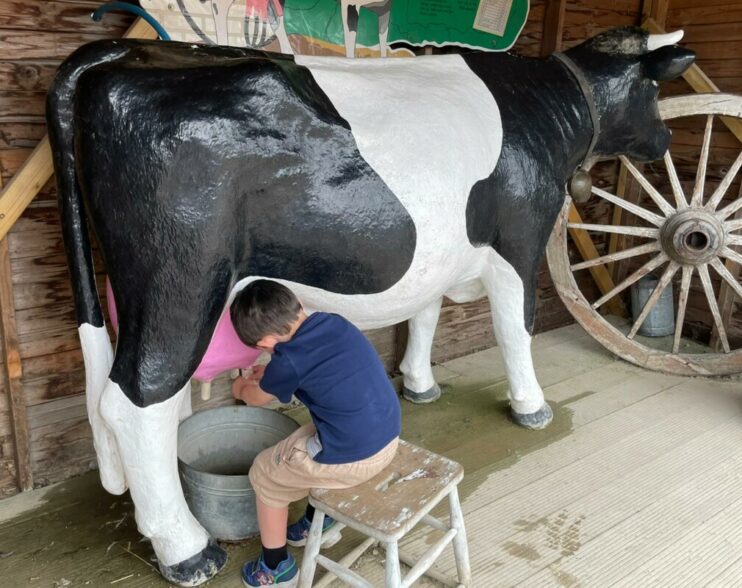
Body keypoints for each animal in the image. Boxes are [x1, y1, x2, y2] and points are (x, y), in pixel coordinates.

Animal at [46, 26, 696, 584]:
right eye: (654, 88)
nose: (665, 140)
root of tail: (122, 56)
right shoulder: (521, 237)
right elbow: (517, 328)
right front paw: (530, 406)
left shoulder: (439, 255)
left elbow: (425, 313)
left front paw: (420, 384)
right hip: (179, 277)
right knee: (137, 400)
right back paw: (186, 550)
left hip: (143, 290)